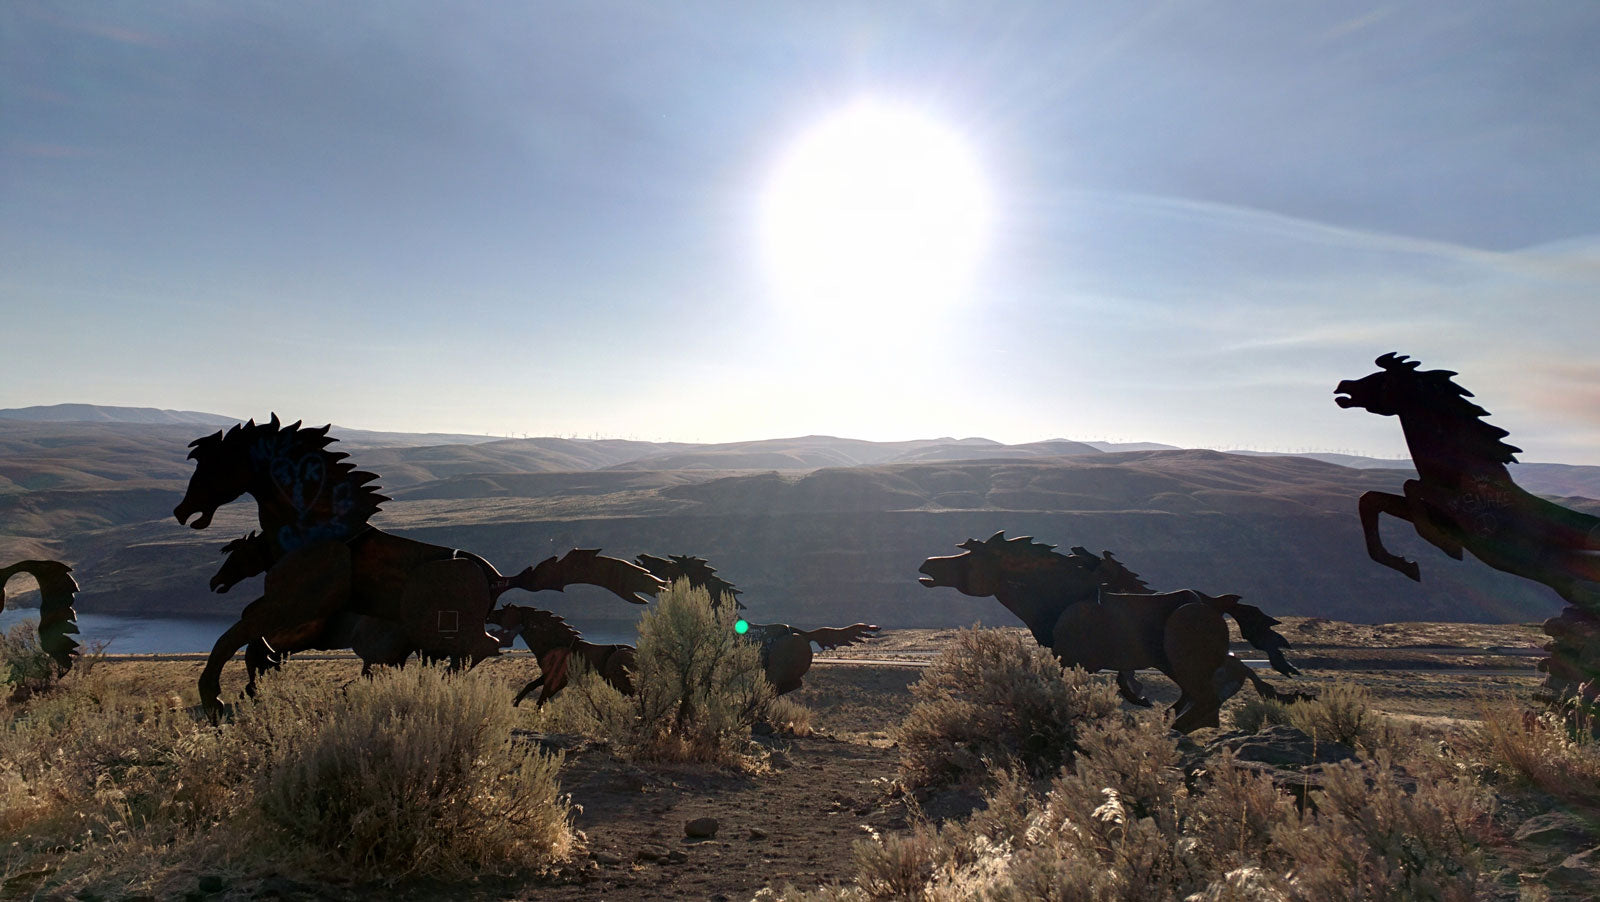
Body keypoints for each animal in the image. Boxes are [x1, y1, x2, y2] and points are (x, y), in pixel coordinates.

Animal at [921, 534, 1305, 732]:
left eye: (972, 557)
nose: (927, 564)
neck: (1060, 600)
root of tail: (1215, 604)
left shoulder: (1073, 660)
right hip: (1174, 662)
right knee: (1211, 692)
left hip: (1183, 657)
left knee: (1209, 698)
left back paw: (1167, 735)